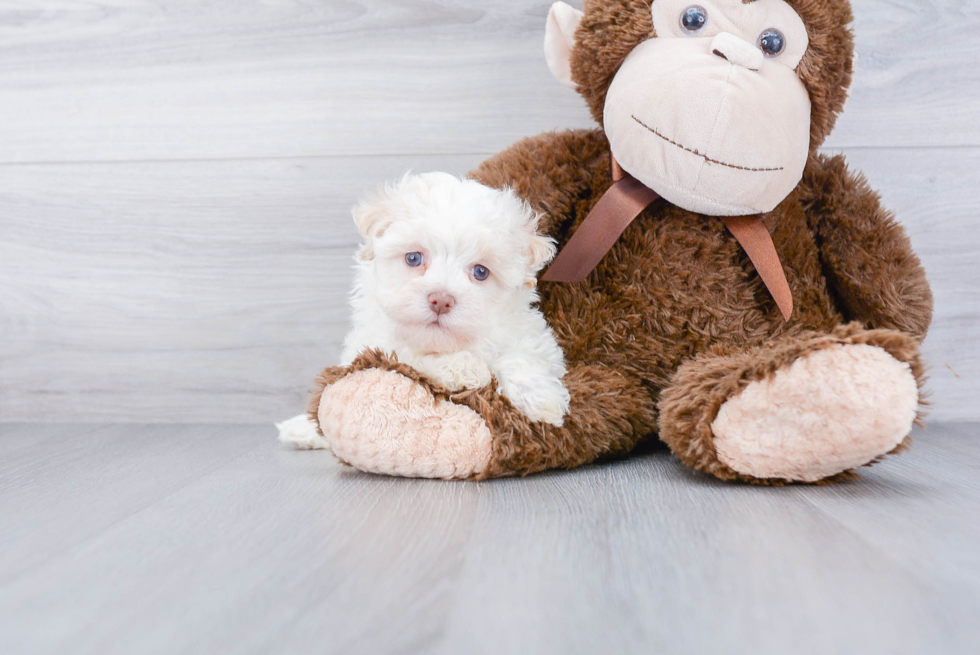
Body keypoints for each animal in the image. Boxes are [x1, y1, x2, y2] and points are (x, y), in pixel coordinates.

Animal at [278, 174, 568, 452]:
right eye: (414, 258)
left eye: (480, 272)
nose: (441, 300)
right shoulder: (378, 347)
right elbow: (414, 359)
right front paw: (462, 368)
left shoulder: (525, 332)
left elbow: (524, 354)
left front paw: (543, 400)